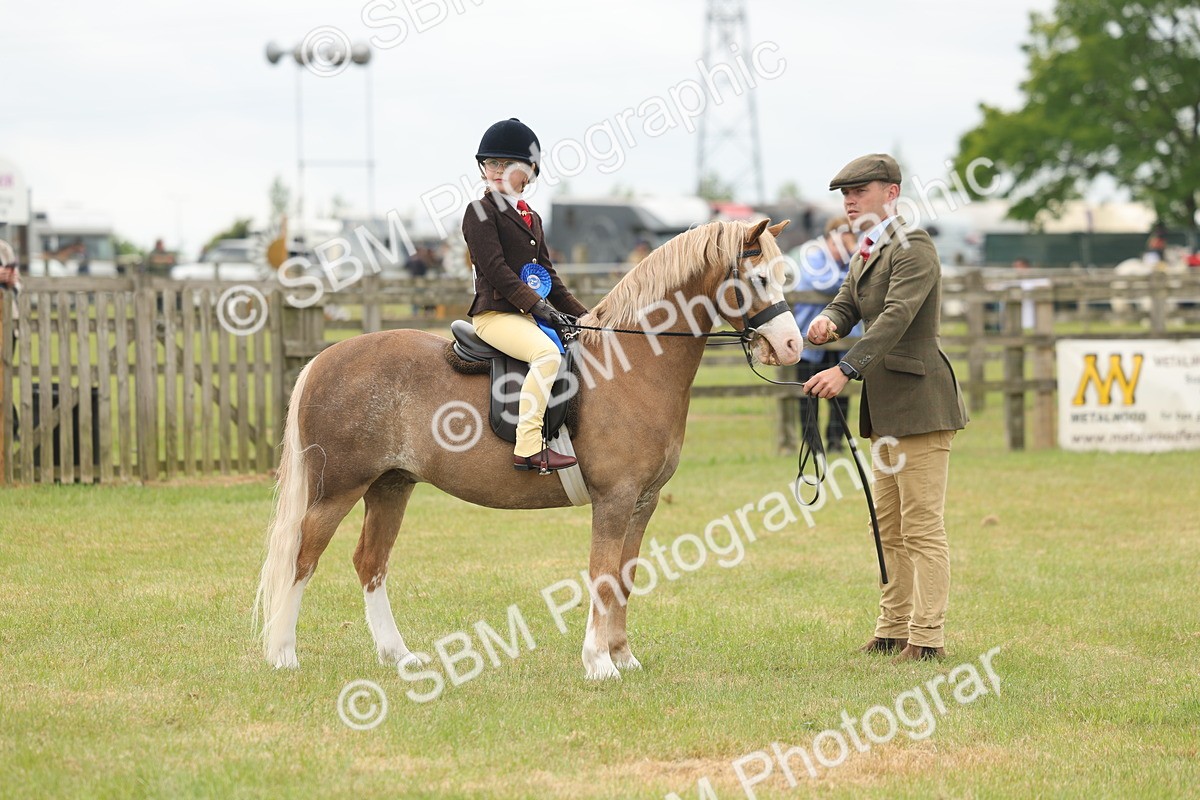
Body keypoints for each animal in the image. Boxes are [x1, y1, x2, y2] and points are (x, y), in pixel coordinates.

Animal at [254, 218, 803, 680]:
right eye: (758, 279)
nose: (793, 347)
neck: (633, 364)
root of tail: (324, 358)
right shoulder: (615, 499)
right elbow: (602, 574)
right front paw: (599, 663)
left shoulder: (642, 502)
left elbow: (624, 576)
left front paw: (623, 657)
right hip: (337, 490)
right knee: (302, 557)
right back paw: (283, 655)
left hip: (391, 486)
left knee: (371, 563)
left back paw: (399, 656)